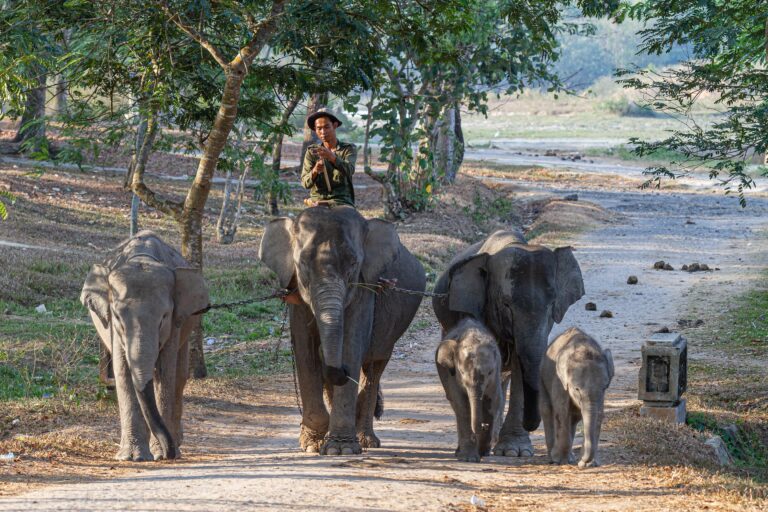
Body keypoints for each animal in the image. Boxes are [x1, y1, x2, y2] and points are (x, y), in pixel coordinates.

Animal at [260, 206, 426, 454]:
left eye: (353, 265)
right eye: (302, 265)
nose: (341, 371)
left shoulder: (364, 289)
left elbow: (350, 345)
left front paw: (340, 449)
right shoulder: (296, 294)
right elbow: (305, 351)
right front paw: (314, 443)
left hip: (391, 333)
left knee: (375, 368)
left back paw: (366, 440)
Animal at [438, 318, 504, 462]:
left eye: (490, 372)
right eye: (462, 372)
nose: (484, 426)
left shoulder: (495, 377)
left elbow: (494, 403)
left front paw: (482, 451)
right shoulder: (452, 376)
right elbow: (462, 405)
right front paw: (469, 459)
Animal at [540, 328, 612, 468]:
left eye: (604, 387)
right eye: (576, 389)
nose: (583, 462)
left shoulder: (601, 396)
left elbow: (598, 415)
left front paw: (591, 464)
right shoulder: (559, 381)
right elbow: (562, 413)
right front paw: (561, 461)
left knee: (574, 418)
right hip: (542, 378)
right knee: (547, 410)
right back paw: (553, 457)